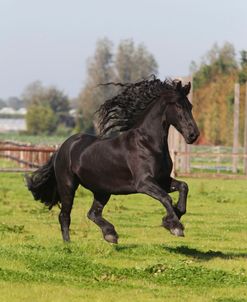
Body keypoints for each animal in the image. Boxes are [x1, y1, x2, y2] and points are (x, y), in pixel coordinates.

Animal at [26, 77, 200, 243]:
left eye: (190, 106)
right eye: (178, 106)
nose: (193, 135)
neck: (147, 143)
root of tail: (62, 148)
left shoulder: (162, 179)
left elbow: (183, 187)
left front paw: (175, 215)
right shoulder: (144, 183)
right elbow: (166, 197)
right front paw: (175, 226)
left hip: (102, 190)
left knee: (93, 213)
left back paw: (110, 234)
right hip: (68, 186)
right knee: (65, 215)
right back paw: (68, 244)